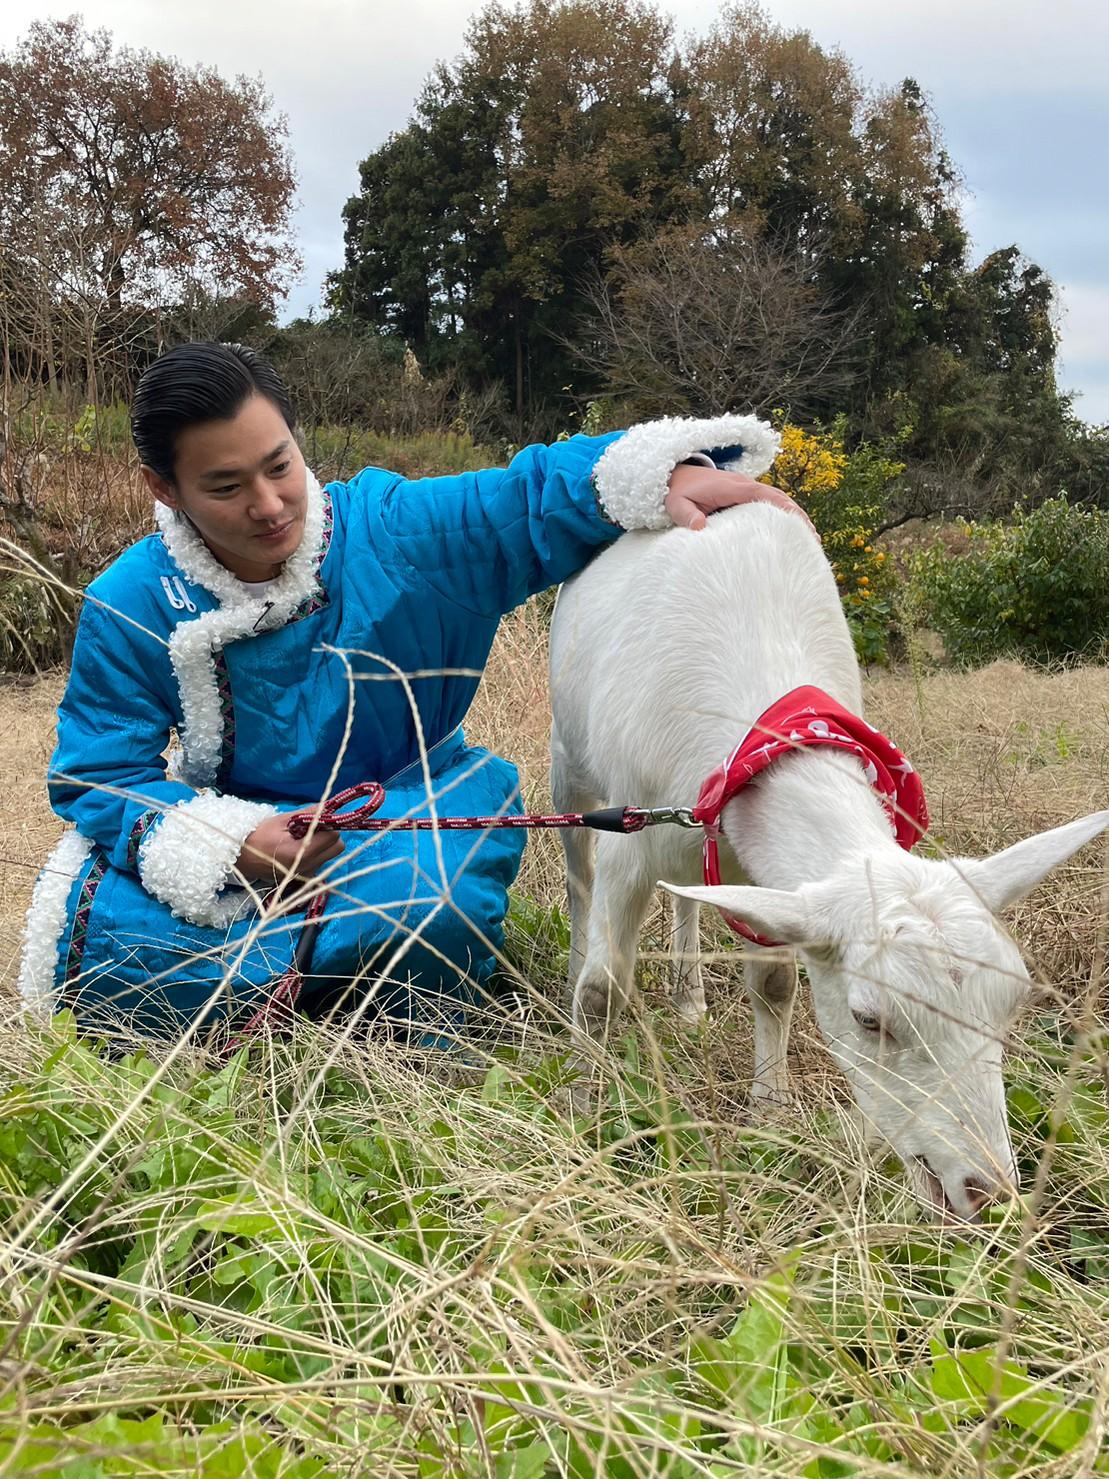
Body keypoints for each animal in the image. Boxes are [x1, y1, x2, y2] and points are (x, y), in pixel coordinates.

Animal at [550, 502, 1109, 1218]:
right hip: (571, 770)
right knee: (579, 878)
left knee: (684, 898)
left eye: (1013, 1000)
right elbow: (602, 991)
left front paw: (770, 1109)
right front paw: (579, 1106)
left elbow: (774, 985)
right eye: (870, 1020)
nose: (988, 1194)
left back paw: (690, 1001)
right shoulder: (633, 835)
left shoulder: (754, 863)